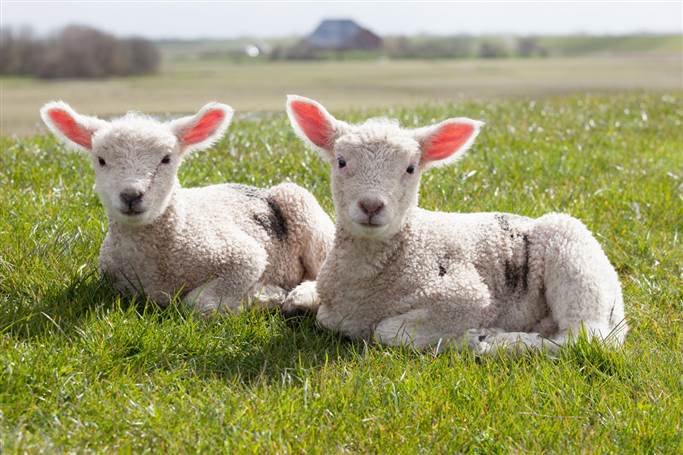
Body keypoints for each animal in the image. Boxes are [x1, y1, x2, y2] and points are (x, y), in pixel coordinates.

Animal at [40, 101, 334, 316]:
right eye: (101, 160)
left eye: (166, 159)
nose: (131, 195)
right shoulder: (117, 283)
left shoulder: (244, 256)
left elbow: (197, 304)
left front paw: (265, 296)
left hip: (304, 212)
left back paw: (301, 297)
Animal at [286, 95, 628, 352]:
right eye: (341, 161)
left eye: (410, 168)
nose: (371, 205)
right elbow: (315, 309)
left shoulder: (465, 295)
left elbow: (387, 331)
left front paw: (469, 335)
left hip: (576, 261)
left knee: (583, 337)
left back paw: (496, 342)